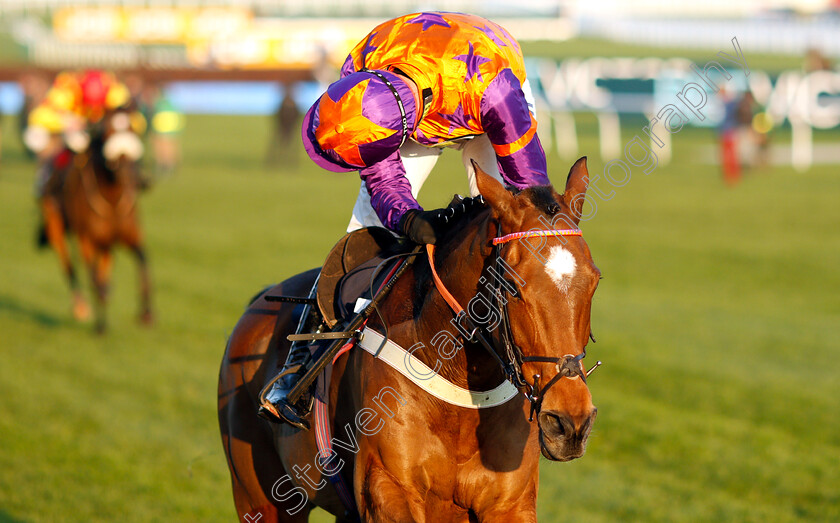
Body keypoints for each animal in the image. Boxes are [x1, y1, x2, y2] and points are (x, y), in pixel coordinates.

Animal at [40, 108, 152, 334]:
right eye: (107, 130)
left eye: (132, 127)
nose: (127, 171)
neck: (112, 198)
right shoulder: (87, 239)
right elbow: (93, 279)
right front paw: (100, 325)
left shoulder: (131, 236)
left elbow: (143, 262)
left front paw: (146, 313)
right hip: (55, 225)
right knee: (69, 266)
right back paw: (81, 307)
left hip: (106, 244)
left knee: (104, 268)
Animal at [217, 158, 596, 520]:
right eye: (513, 287)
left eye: (595, 281)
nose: (570, 422)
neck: (461, 388)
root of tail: (262, 299)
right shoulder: (386, 487)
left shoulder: (509, 503)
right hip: (260, 498)